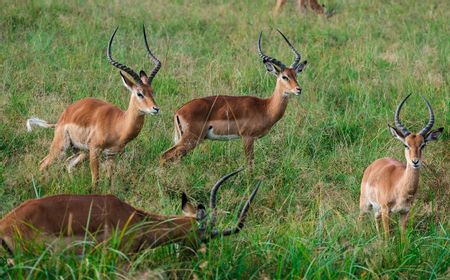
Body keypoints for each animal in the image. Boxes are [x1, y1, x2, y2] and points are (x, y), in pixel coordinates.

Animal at [26, 25, 162, 188]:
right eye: (139, 93)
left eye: (152, 91)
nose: (156, 109)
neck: (118, 123)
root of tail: (62, 117)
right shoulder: (95, 151)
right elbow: (95, 181)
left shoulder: (111, 155)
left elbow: (109, 181)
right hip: (61, 147)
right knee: (43, 163)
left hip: (81, 152)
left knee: (68, 165)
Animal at [160, 30, 308, 166]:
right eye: (284, 76)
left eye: (295, 75)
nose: (298, 89)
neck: (265, 107)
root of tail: (178, 111)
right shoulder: (247, 138)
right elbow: (250, 164)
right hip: (190, 140)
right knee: (164, 156)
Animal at [358, 95, 442, 237]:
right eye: (406, 145)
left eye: (423, 145)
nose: (415, 161)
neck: (399, 186)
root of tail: (373, 165)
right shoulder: (386, 210)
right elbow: (388, 236)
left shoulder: (404, 212)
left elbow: (403, 237)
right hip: (365, 204)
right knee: (359, 219)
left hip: (377, 209)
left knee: (375, 218)